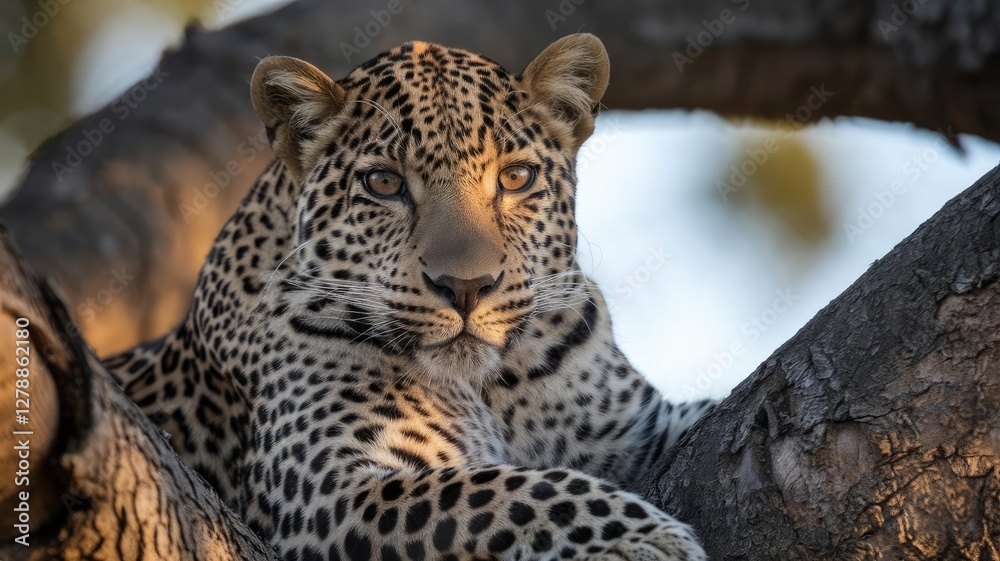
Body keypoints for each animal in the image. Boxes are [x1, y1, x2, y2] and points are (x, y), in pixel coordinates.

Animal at [105, 34, 717, 560]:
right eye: (383, 184)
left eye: (516, 178)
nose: (466, 287)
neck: (493, 389)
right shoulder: (333, 493)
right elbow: (504, 491)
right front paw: (648, 540)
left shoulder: (639, 431)